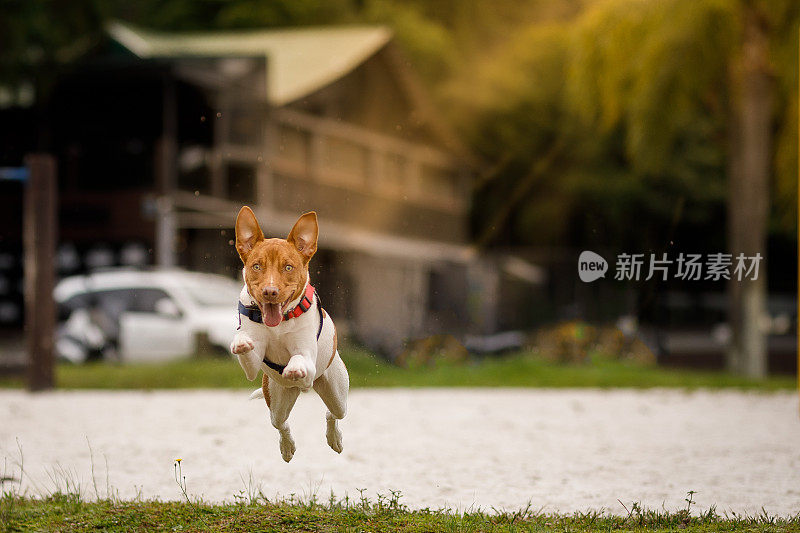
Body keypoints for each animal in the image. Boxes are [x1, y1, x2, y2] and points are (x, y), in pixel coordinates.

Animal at [228, 206, 346, 464]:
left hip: (336, 391)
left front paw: (294, 366)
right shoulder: (253, 368)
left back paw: (334, 438)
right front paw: (241, 341)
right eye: (257, 266)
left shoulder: (308, 357)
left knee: (333, 413)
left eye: (288, 267)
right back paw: (287, 447)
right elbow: (247, 351)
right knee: (281, 424)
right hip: (276, 400)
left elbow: (300, 359)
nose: (270, 291)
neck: (279, 324)